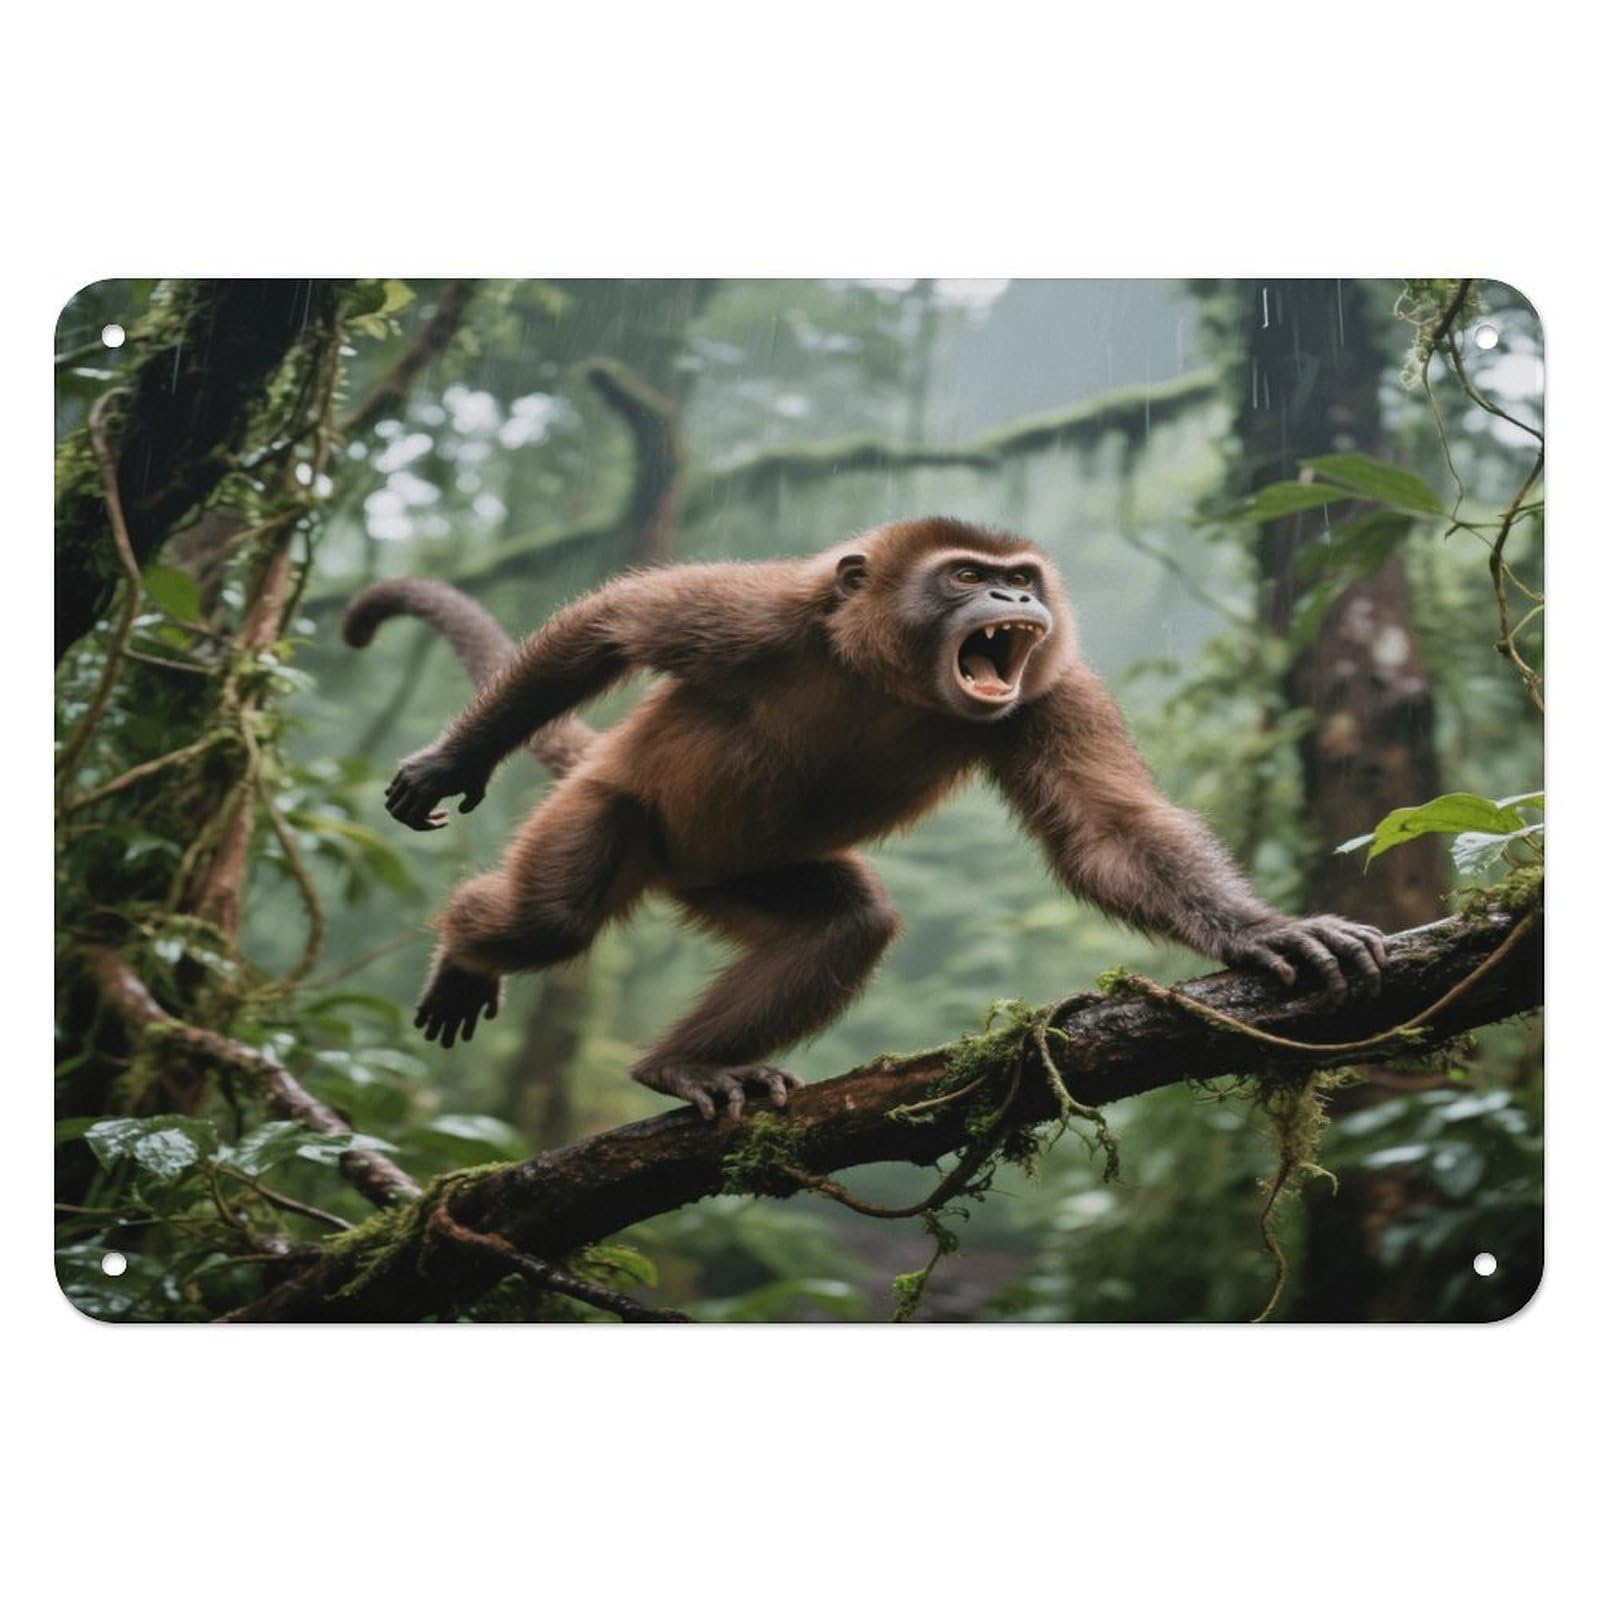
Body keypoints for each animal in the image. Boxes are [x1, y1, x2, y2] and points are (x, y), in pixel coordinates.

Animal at [343, 516, 1387, 1121]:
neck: (886, 674)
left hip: (720, 876)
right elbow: (611, 624)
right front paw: (453, 761)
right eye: (965, 575)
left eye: (1021, 580)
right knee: (551, 916)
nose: (1011, 596)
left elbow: (1108, 829)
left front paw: (1259, 931)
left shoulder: (1054, 687)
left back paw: (681, 1065)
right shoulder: (767, 612)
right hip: (610, 806)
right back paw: (468, 947)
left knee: (847, 924)